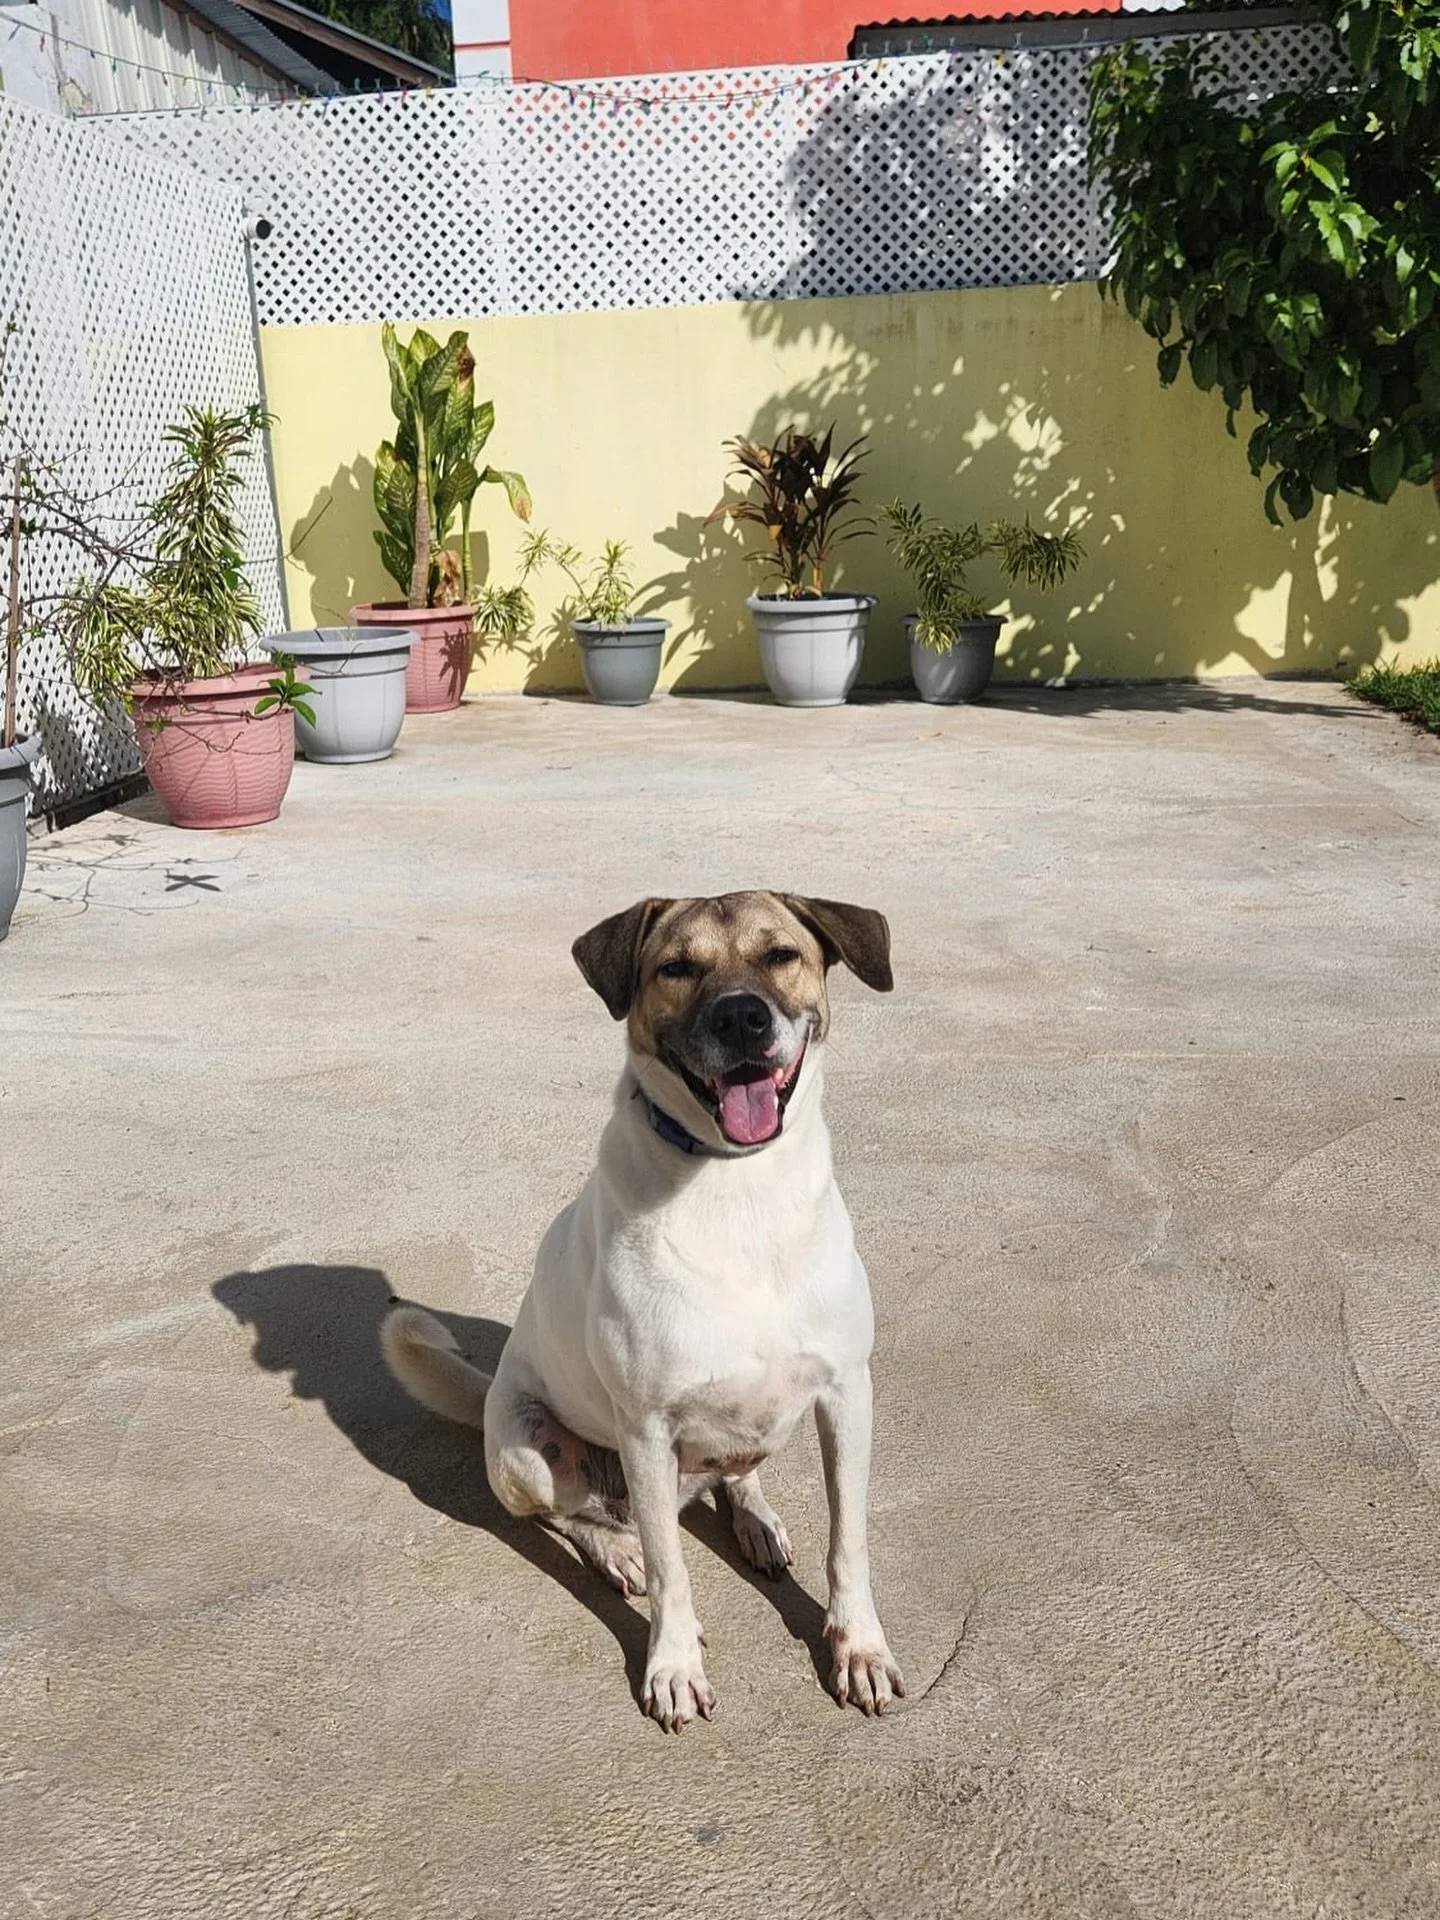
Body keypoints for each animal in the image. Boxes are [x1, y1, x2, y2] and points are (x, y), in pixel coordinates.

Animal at [381, 891, 905, 1731]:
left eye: (781, 955)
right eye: (676, 968)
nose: (742, 1018)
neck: (739, 1191)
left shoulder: (847, 1393)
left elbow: (847, 1544)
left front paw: (858, 1649)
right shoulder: (648, 1429)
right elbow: (670, 1572)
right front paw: (673, 1666)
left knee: (737, 1473)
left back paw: (753, 1518)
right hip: (527, 1452)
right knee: (569, 1515)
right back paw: (616, 1547)